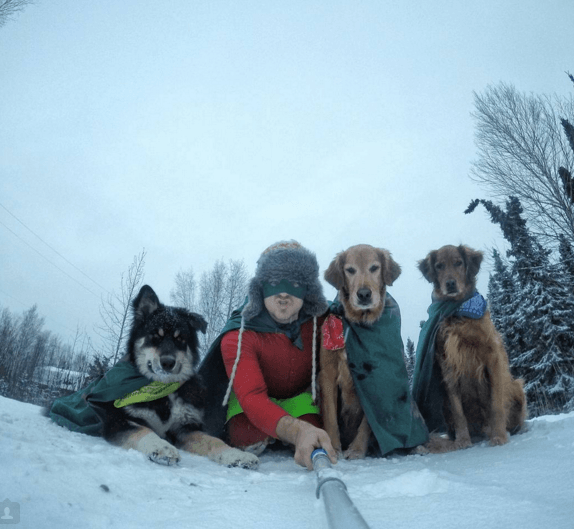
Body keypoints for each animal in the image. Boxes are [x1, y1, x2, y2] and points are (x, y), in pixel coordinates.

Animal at [91, 286, 260, 468]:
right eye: (155, 336)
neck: (160, 391)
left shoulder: (184, 428)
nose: (167, 362)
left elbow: (213, 440)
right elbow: (143, 430)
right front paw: (161, 447)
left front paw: (236, 455)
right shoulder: (117, 420)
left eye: (180, 339)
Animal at [318, 245, 402, 456]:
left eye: (374, 267)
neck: (358, 323)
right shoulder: (327, 373)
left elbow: (368, 422)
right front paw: (333, 447)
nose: (364, 294)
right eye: (350, 270)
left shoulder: (376, 379)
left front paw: (356, 450)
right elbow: (330, 416)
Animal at [418, 244, 528, 450]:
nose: (450, 284)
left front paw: (499, 436)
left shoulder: (493, 358)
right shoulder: (448, 366)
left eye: (458, 263)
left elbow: (496, 403)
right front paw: (463, 440)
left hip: (516, 385)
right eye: (439, 266)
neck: (458, 311)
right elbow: (458, 412)